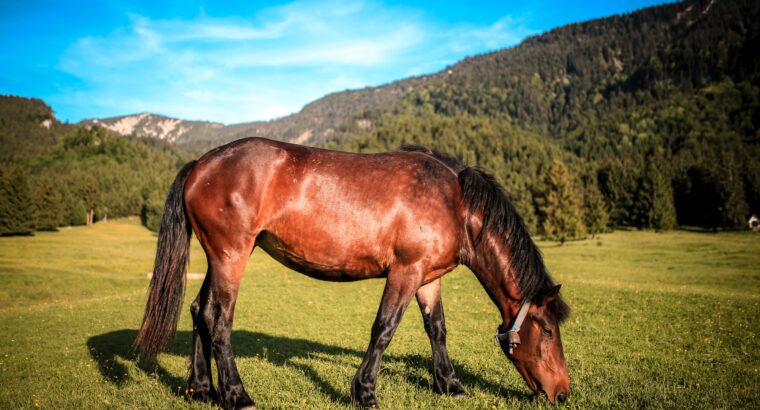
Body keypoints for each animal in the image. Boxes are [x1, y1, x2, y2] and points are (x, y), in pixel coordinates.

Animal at [134, 137, 568, 406]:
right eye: (548, 330)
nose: (562, 393)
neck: (454, 201)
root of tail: (202, 164)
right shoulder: (405, 272)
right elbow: (384, 329)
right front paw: (365, 393)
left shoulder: (428, 278)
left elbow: (437, 329)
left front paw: (450, 385)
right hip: (230, 257)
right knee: (219, 320)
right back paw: (237, 396)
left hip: (220, 257)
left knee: (198, 311)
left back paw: (201, 388)